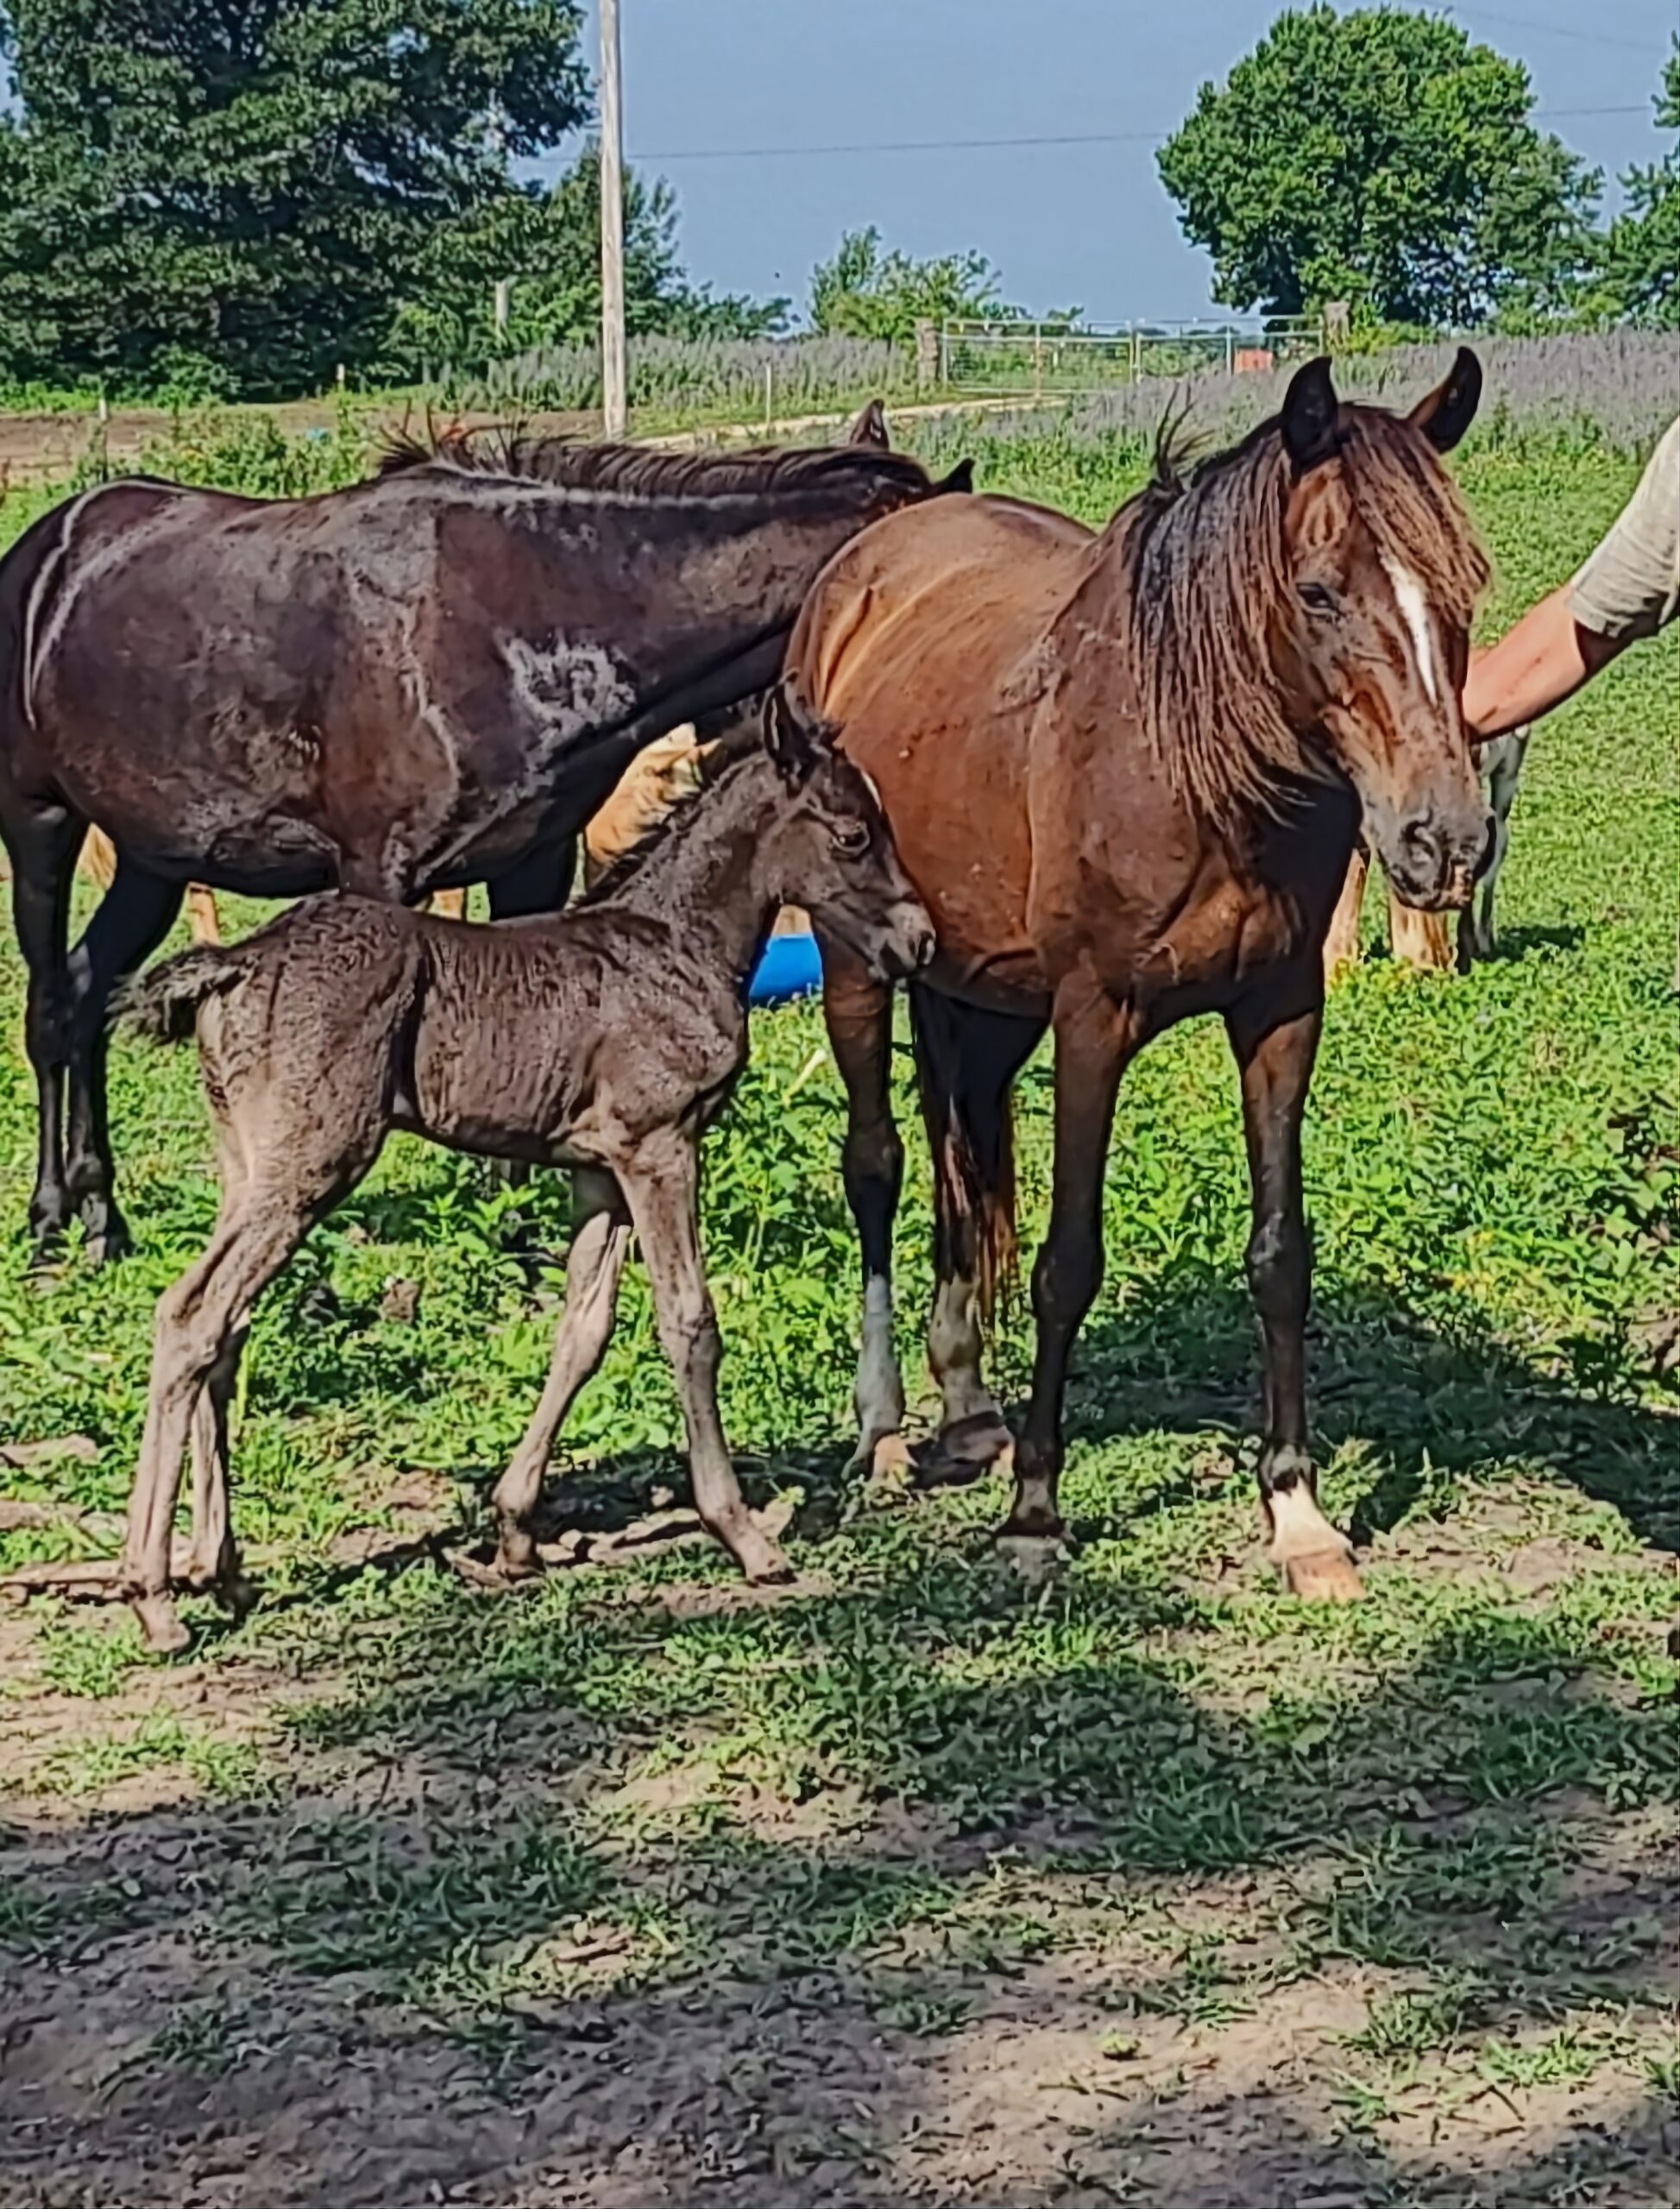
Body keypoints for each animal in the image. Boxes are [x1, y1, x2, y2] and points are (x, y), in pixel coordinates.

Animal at [0, 417, 965, 1262]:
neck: (516, 624)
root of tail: (45, 551)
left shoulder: (531, 863)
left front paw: (517, 1238)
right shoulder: (378, 872)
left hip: (153, 859)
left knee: (90, 992)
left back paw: (104, 1217)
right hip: (41, 824)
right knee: (50, 1008)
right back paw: (50, 1219)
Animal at [88, 699, 933, 1652]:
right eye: (855, 833)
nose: (919, 940)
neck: (676, 944)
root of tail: (236, 962)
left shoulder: (600, 1170)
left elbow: (582, 1329)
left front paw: (517, 1528)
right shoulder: (660, 1146)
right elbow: (689, 1322)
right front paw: (744, 1534)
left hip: (250, 1168)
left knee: (225, 1333)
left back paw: (222, 1570)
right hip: (310, 1165)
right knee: (191, 1316)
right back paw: (152, 1594)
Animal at [784, 350, 1493, 1601]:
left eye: (1462, 590)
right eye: (1319, 592)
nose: (1442, 841)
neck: (1193, 765)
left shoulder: (1280, 1014)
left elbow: (1279, 1255)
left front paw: (1298, 1514)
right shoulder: (1091, 1020)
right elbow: (1068, 1260)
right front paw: (1033, 1515)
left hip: (981, 997)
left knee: (962, 1160)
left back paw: (967, 1402)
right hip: (855, 965)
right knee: (875, 1165)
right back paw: (884, 1431)